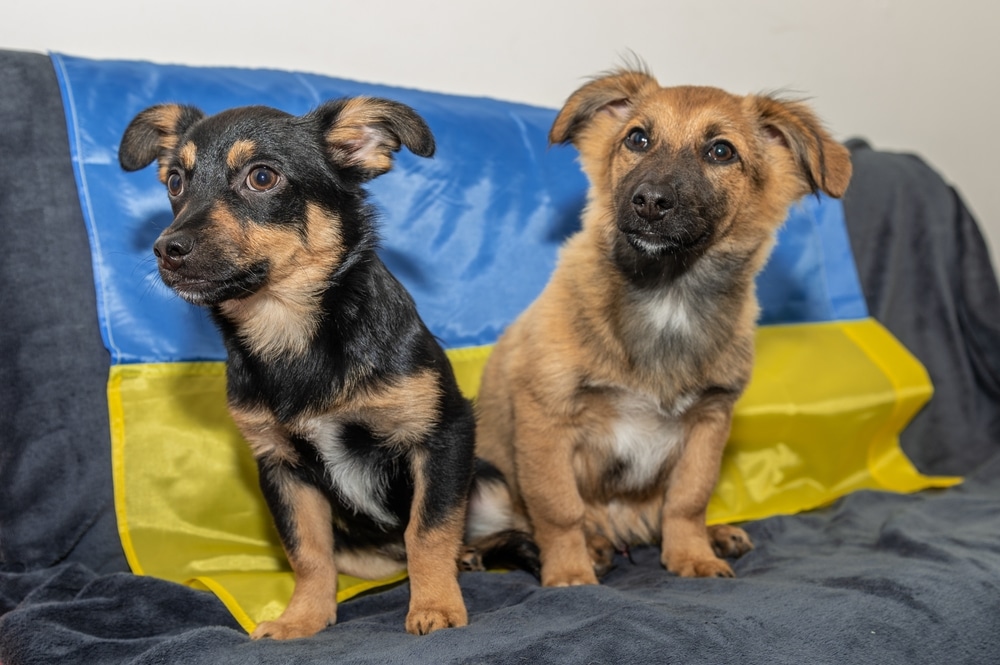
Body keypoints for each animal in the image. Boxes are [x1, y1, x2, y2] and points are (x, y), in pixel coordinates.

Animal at [119, 97, 482, 640]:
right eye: (176, 182)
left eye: (262, 177)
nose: (167, 250)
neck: (289, 333)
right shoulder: (281, 467)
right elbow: (307, 552)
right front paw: (302, 618)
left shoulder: (442, 434)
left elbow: (429, 530)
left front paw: (436, 606)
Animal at [474, 67, 852, 588]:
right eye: (637, 138)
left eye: (721, 151)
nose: (650, 202)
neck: (667, 295)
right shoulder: (545, 417)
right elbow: (559, 508)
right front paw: (569, 571)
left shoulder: (709, 423)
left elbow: (688, 501)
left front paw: (692, 554)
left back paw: (714, 535)